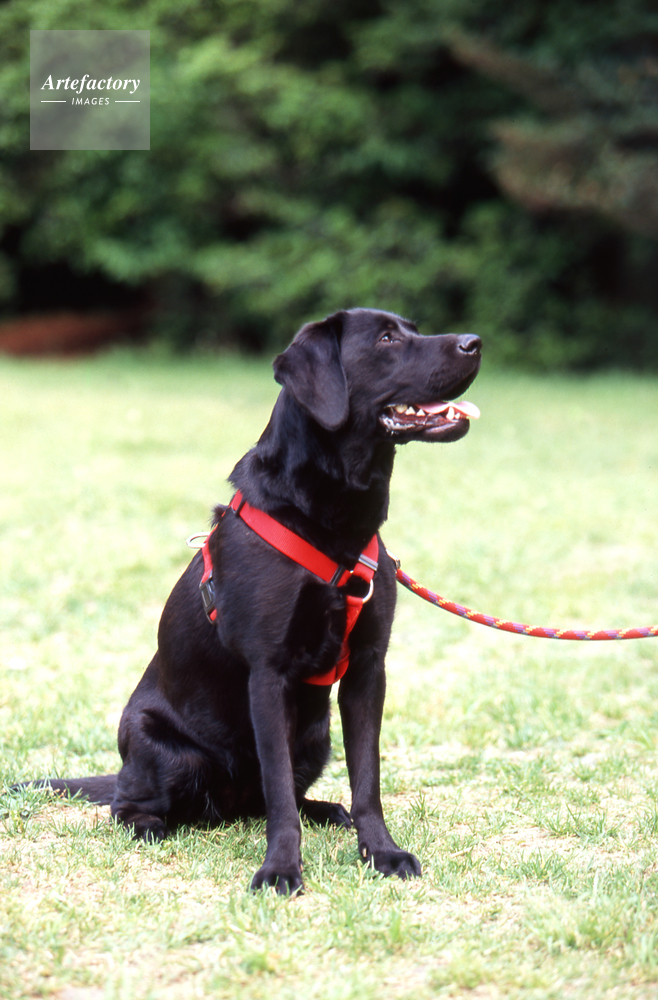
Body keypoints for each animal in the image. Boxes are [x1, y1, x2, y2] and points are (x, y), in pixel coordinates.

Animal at [21, 308, 481, 894]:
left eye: (412, 328)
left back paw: (325, 810)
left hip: (315, 736)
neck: (331, 525)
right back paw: (150, 823)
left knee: (268, 798)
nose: (475, 342)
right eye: (385, 339)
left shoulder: (368, 670)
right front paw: (280, 869)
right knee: (134, 803)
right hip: (161, 747)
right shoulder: (268, 673)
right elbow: (279, 789)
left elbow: (366, 779)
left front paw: (381, 852)